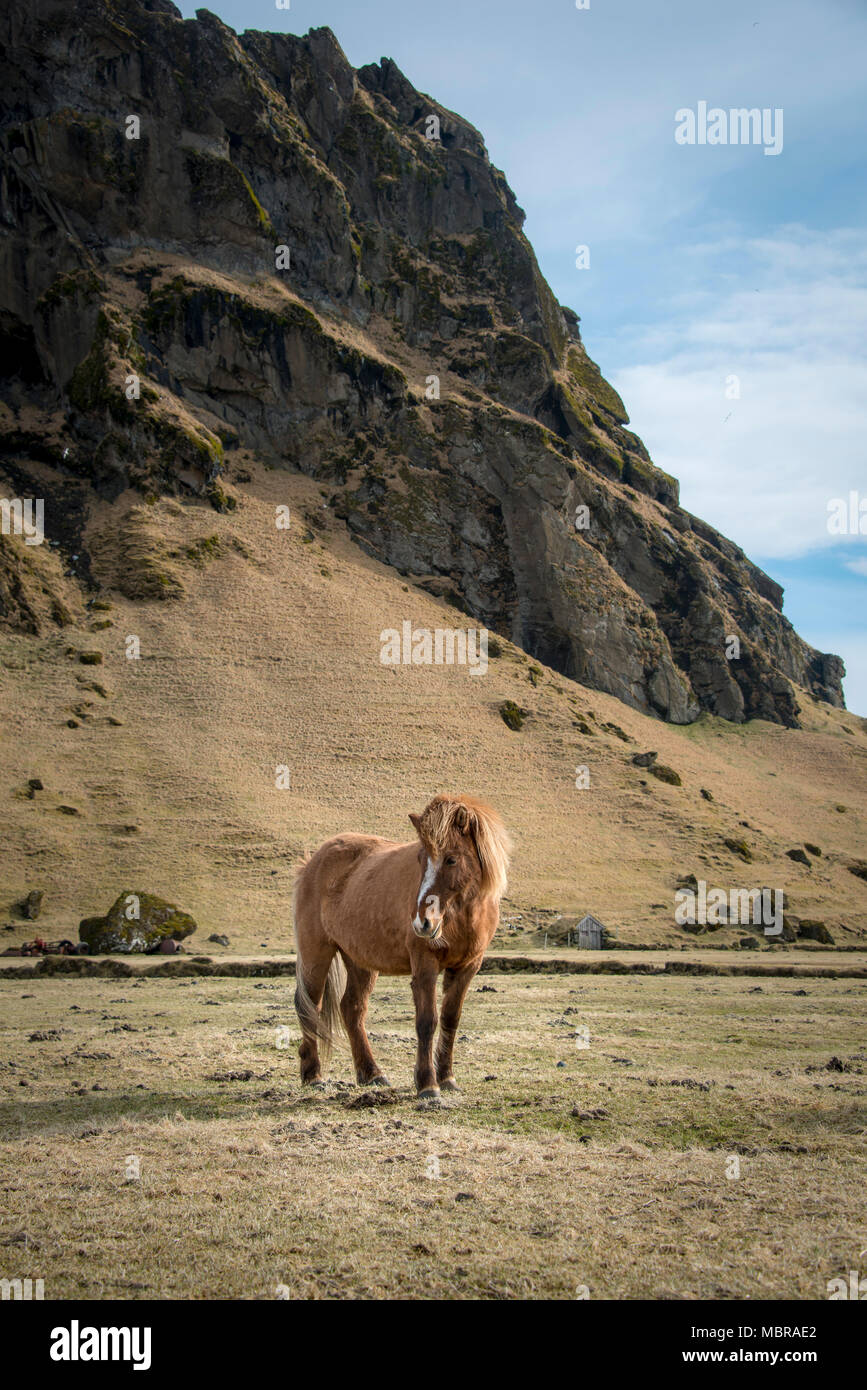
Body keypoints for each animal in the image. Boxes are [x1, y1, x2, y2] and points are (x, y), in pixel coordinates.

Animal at [293, 795, 508, 1095]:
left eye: (451, 859)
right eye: (420, 858)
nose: (422, 923)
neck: (463, 915)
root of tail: (312, 863)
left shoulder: (467, 968)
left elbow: (450, 1019)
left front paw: (447, 1078)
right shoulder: (425, 965)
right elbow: (427, 1021)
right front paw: (428, 1084)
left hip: (359, 961)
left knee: (352, 1009)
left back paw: (372, 1073)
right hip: (316, 954)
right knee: (309, 1006)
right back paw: (313, 1075)